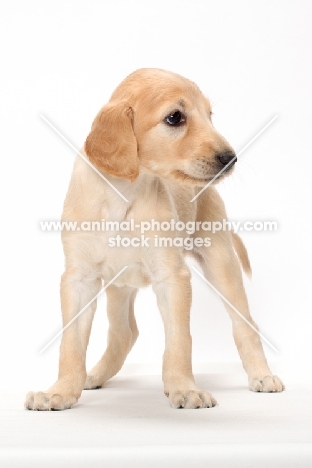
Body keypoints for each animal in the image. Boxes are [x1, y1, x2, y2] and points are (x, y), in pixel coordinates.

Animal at [26, 68, 286, 410]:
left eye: (209, 115)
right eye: (174, 117)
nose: (230, 158)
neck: (123, 195)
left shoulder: (172, 277)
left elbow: (179, 340)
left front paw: (184, 388)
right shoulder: (78, 279)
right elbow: (71, 343)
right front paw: (61, 390)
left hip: (221, 261)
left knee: (245, 324)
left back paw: (262, 375)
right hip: (120, 284)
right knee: (125, 333)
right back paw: (93, 376)